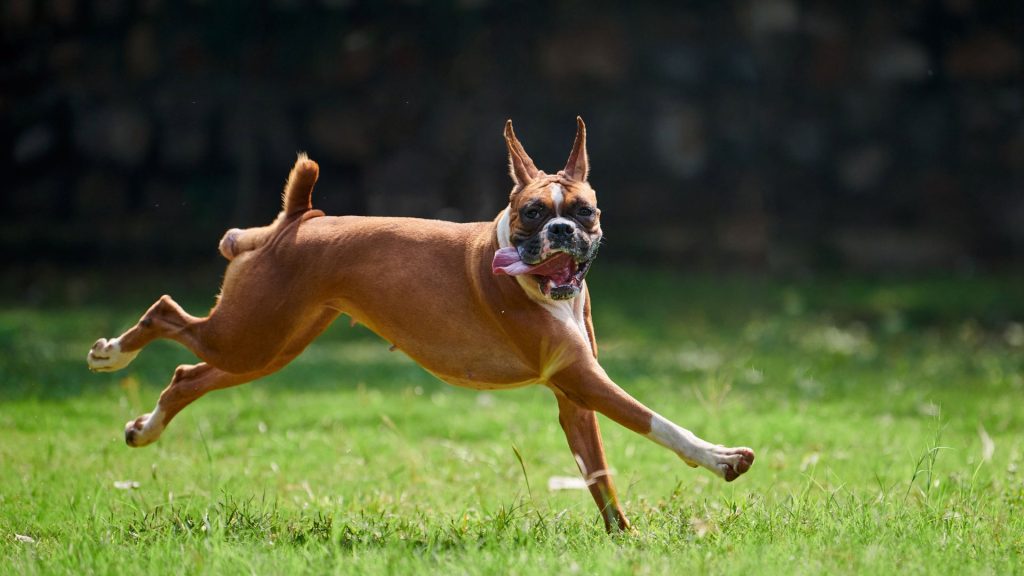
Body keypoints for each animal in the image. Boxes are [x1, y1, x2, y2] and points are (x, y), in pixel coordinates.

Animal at [88, 116, 753, 528]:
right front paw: (721, 458)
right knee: (163, 312)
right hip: (248, 337)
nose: (562, 230)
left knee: (187, 374)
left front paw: (624, 539)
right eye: (533, 213)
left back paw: (143, 429)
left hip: (264, 347)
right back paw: (111, 353)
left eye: (584, 211)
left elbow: (599, 475)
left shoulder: (575, 398)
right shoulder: (584, 380)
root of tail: (299, 220)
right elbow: (656, 422)